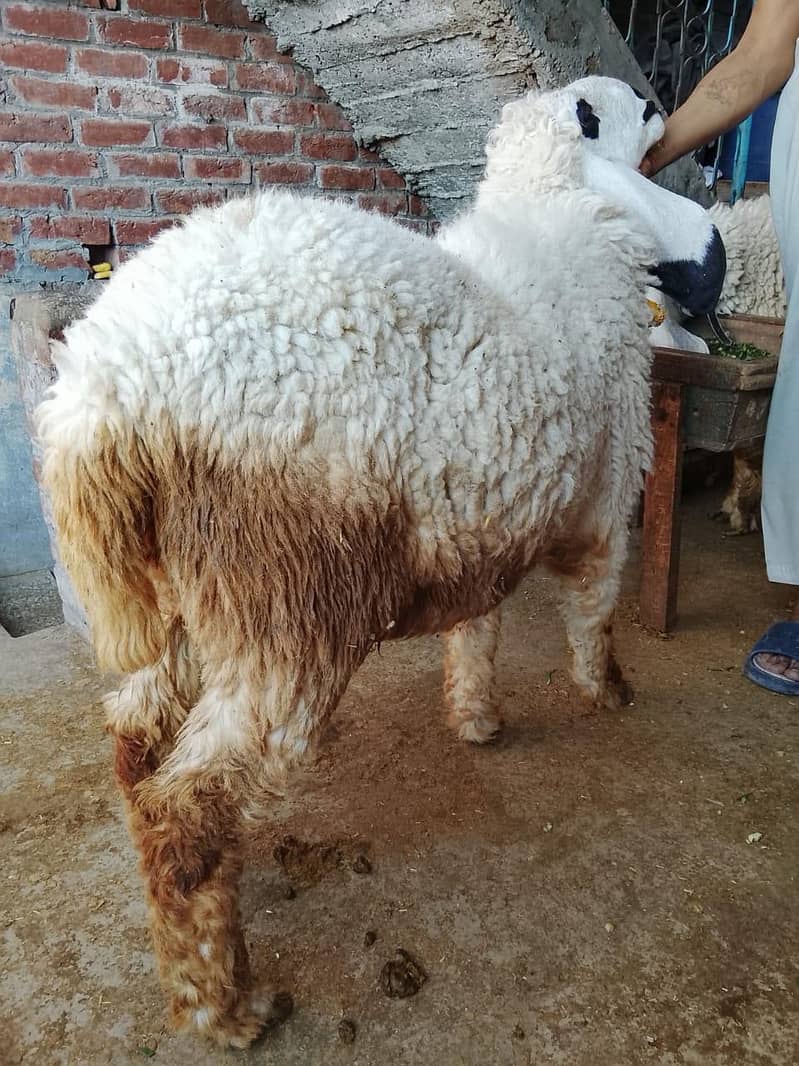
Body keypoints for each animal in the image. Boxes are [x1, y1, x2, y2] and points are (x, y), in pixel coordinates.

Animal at [37, 76, 712, 1048]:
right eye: (632, 106)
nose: (667, 105)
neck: (554, 210)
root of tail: (104, 388)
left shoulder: (487, 508)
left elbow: (478, 625)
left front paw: (475, 717)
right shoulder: (608, 491)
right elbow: (594, 611)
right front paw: (606, 691)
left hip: (180, 597)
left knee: (134, 743)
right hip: (287, 592)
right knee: (189, 803)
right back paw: (224, 1006)